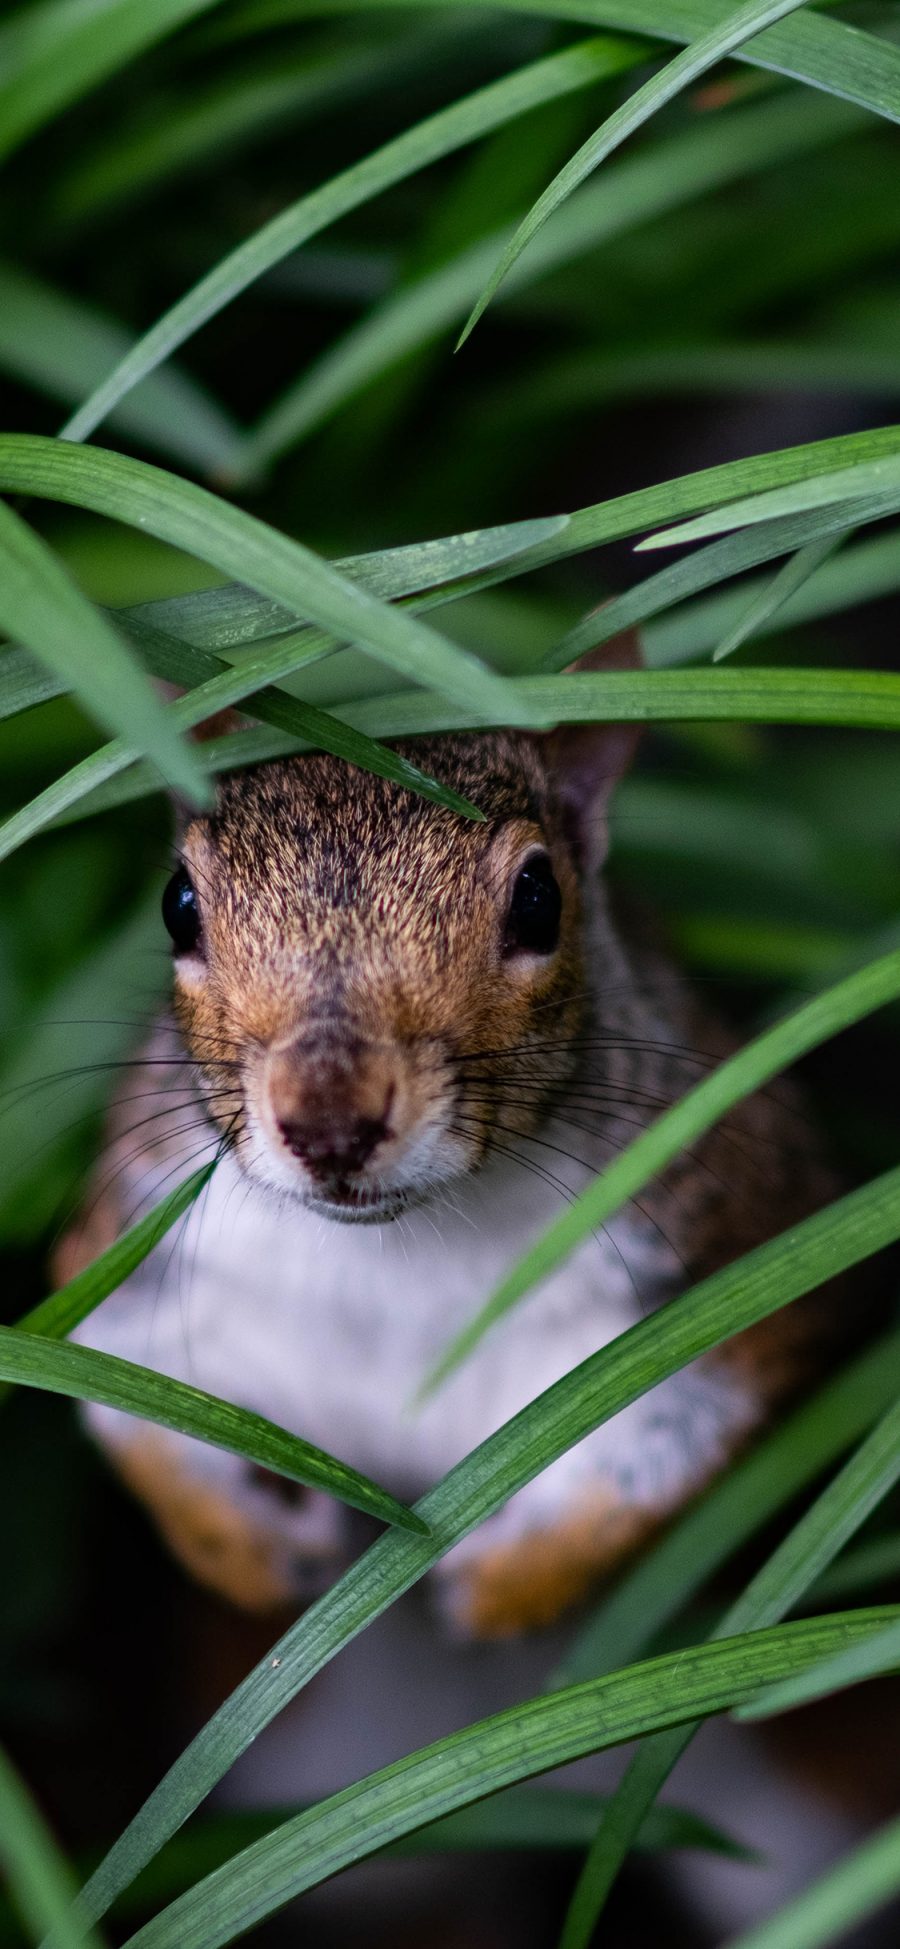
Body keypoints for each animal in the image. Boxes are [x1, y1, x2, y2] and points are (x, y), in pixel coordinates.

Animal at [59, 635, 845, 1629]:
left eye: (540, 897)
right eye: (178, 902)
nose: (331, 1122)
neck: (395, 1258)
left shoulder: (739, 1253)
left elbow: (663, 1466)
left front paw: (501, 1585)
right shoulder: (132, 1255)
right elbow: (129, 1414)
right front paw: (250, 1550)